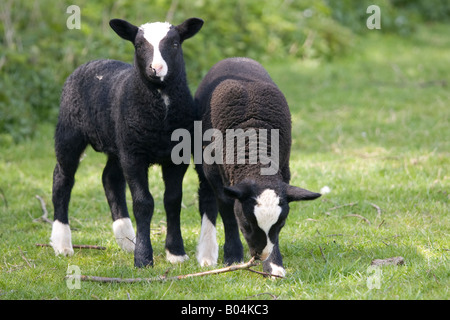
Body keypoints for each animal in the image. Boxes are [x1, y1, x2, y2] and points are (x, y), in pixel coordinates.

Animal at [50, 16, 203, 268]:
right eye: (139, 45)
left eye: (174, 44)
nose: (156, 68)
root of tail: (93, 62)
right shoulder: (134, 156)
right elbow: (143, 203)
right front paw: (143, 257)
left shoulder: (176, 156)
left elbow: (172, 200)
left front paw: (176, 253)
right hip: (69, 131)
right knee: (62, 179)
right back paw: (62, 243)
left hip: (118, 141)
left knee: (110, 178)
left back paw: (126, 239)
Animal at [195, 57, 322, 276]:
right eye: (246, 224)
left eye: (281, 224)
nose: (259, 256)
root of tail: (236, 58)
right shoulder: (216, 175)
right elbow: (227, 212)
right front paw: (233, 257)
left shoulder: (284, 171)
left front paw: (274, 265)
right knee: (206, 197)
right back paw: (207, 254)